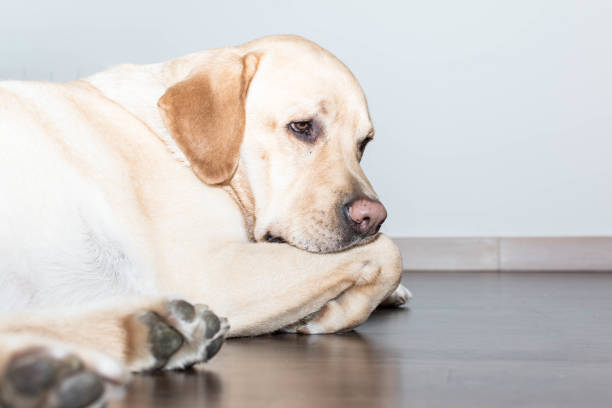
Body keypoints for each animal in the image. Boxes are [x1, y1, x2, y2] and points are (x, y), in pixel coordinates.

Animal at [1, 35, 412, 408]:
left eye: (363, 144)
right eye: (302, 127)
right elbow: (388, 253)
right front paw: (332, 311)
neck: (171, 141)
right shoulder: (213, 272)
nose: (372, 217)